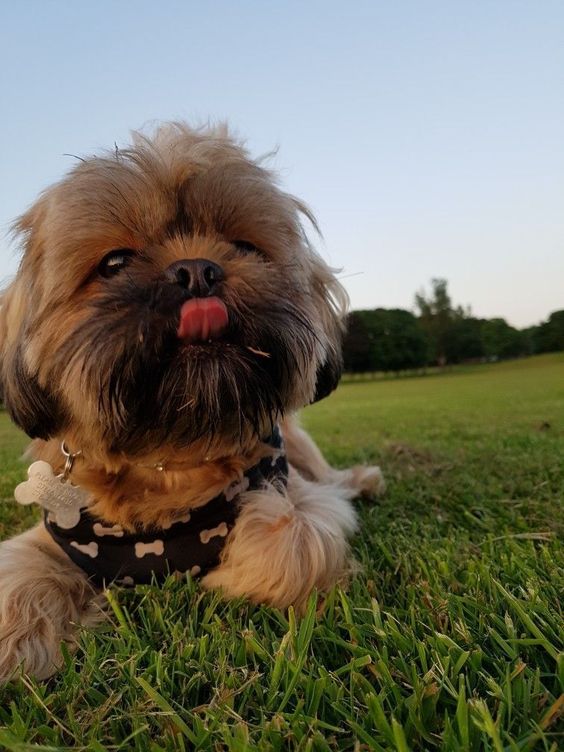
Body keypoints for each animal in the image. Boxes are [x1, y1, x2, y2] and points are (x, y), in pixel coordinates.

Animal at [0, 120, 384, 680]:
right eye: (115, 262)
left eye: (243, 246)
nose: (197, 270)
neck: (172, 459)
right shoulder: (54, 538)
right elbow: (17, 580)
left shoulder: (298, 497)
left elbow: (291, 542)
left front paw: (227, 575)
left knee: (332, 478)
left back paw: (363, 481)